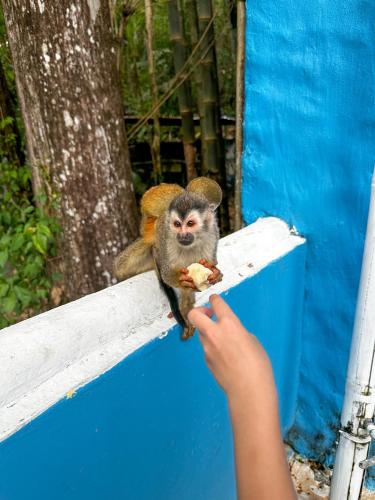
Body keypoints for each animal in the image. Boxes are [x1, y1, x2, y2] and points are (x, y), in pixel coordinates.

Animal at [114, 177, 223, 340]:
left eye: (190, 223)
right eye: (177, 224)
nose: (183, 235)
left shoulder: (213, 232)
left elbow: (210, 262)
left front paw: (215, 274)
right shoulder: (164, 229)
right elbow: (166, 272)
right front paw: (181, 280)